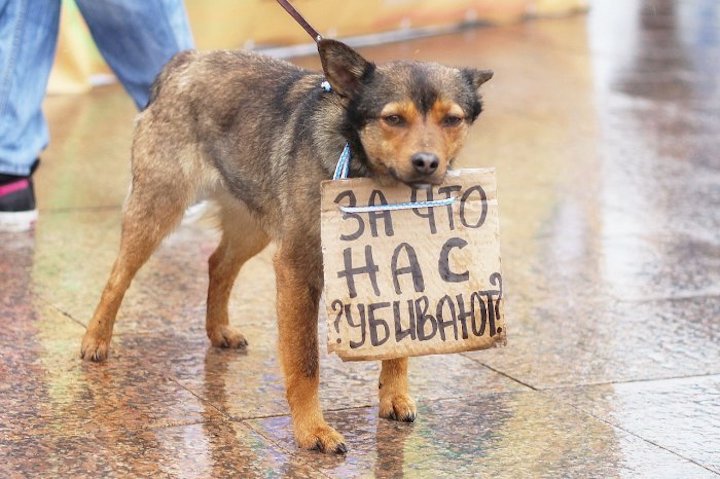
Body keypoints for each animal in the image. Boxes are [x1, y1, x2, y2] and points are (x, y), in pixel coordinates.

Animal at [81, 38, 492, 454]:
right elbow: (305, 361)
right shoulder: (297, 268)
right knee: (118, 277)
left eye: (451, 119)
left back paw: (218, 329)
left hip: (253, 223)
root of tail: (187, 61)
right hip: (159, 208)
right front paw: (312, 430)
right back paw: (95, 339)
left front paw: (392, 395)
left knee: (218, 264)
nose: (426, 162)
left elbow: (397, 343)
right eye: (393, 119)